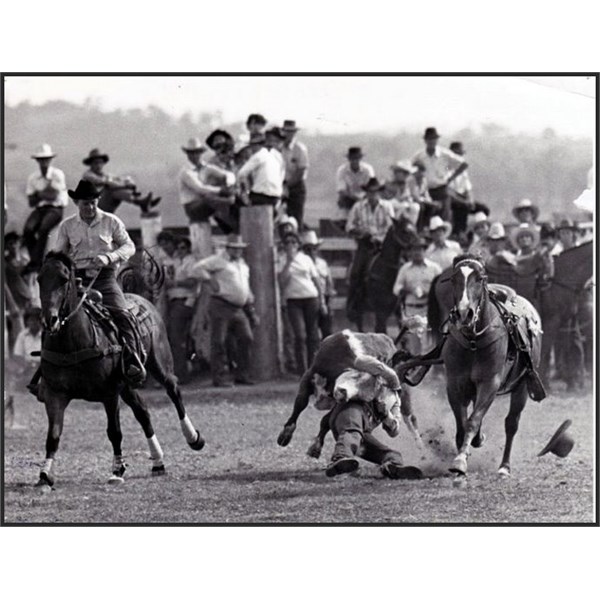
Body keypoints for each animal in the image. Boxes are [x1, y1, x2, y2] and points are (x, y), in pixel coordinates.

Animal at [35, 253, 205, 488]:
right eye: (39, 279)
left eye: (63, 279)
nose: (49, 320)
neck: (74, 343)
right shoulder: (55, 395)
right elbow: (53, 435)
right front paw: (45, 474)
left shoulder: (110, 394)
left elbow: (114, 432)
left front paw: (117, 470)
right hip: (127, 385)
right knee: (143, 412)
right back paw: (158, 462)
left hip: (159, 365)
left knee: (174, 392)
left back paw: (194, 438)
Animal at [440, 256, 544, 478]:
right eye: (453, 279)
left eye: (480, 278)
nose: (464, 313)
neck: (473, 342)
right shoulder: (454, 385)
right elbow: (462, 425)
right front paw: (464, 451)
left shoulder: (489, 384)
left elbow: (472, 422)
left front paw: (460, 461)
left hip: (522, 387)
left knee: (511, 424)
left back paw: (504, 467)